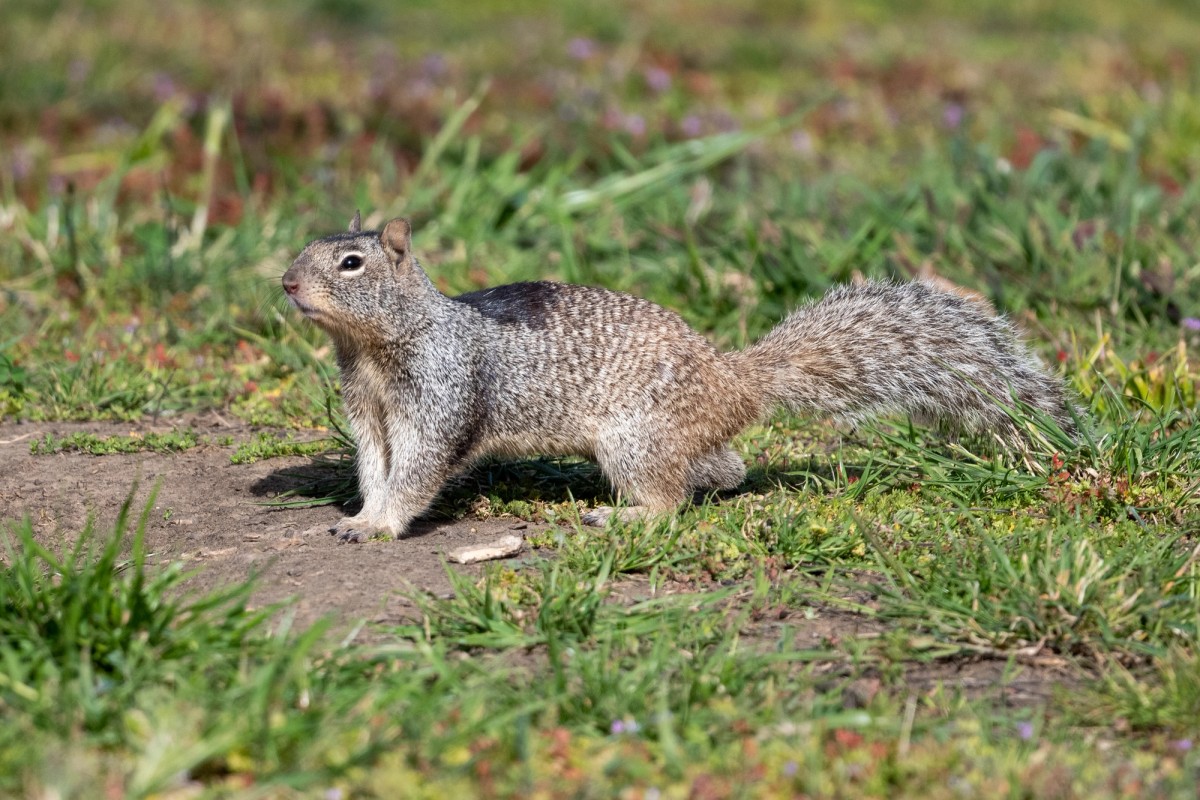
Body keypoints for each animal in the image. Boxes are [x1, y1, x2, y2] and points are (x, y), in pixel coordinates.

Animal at [282, 212, 1078, 542]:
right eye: (308, 244)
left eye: (351, 263)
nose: (287, 282)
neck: (374, 348)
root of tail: (736, 381)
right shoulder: (368, 411)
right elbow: (375, 465)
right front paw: (360, 514)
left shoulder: (441, 392)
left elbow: (417, 470)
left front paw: (380, 526)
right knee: (724, 469)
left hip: (636, 437)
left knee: (671, 498)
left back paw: (623, 516)